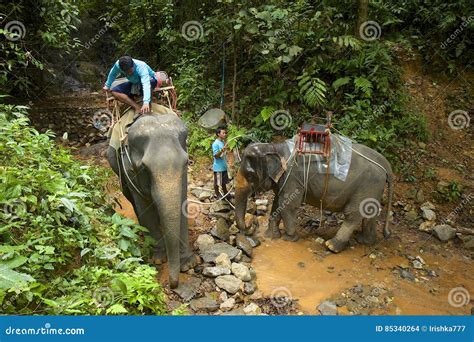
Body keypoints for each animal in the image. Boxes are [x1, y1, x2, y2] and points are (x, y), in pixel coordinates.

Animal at [107, 110, 196, 288]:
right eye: (144, 168)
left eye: (186, 163)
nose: (173, 284)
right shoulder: (129, 170)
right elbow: (144, 208)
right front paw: (159, 259)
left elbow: (182, 206)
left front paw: (188, 264)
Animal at [233, 138, 392, 252]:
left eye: (250, 176)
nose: (249, 227)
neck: (275, 147)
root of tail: (385, 163)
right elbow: (278, 203)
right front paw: (271, 236)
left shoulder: (293, 178)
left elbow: (289, 205)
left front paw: (290, 238)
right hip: (373, 188)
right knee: (369, 213)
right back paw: (365, 240)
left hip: (367, 185)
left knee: (353, 215)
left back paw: (332, 246)